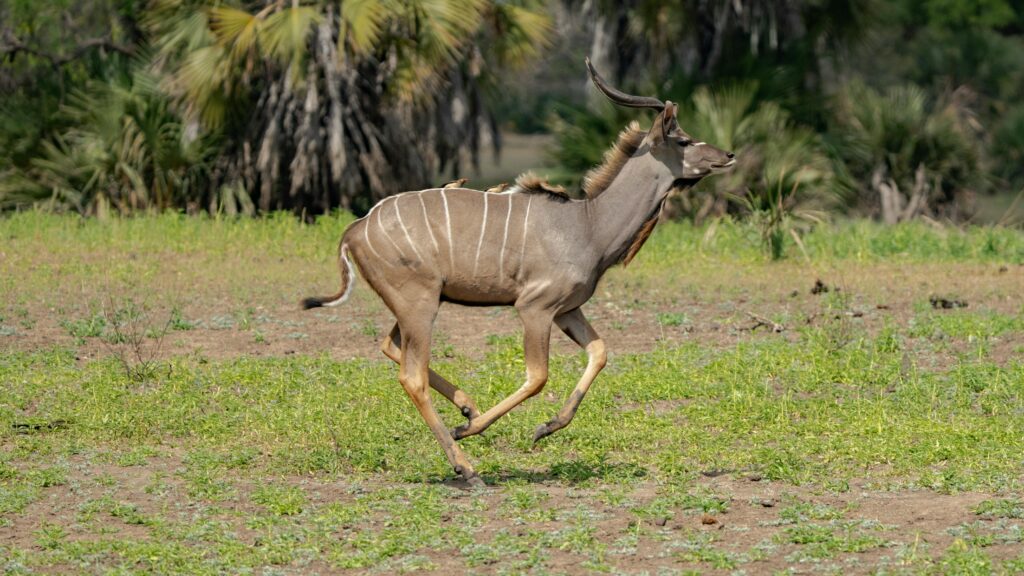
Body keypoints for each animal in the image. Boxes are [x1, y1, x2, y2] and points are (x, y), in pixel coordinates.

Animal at [302, 60, 735, 487]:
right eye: (684, 140)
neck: (588, 224)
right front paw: (474, 431)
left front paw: (545, 427)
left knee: (389, 345)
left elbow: (599, 352)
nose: (729, 154)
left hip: (418, 303)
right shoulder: (534, 307)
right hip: (419, 303)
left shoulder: (567, 310)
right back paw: (465, 464)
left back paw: (467, 407)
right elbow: (538, 375)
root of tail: (356, 228)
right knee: (412, 376)